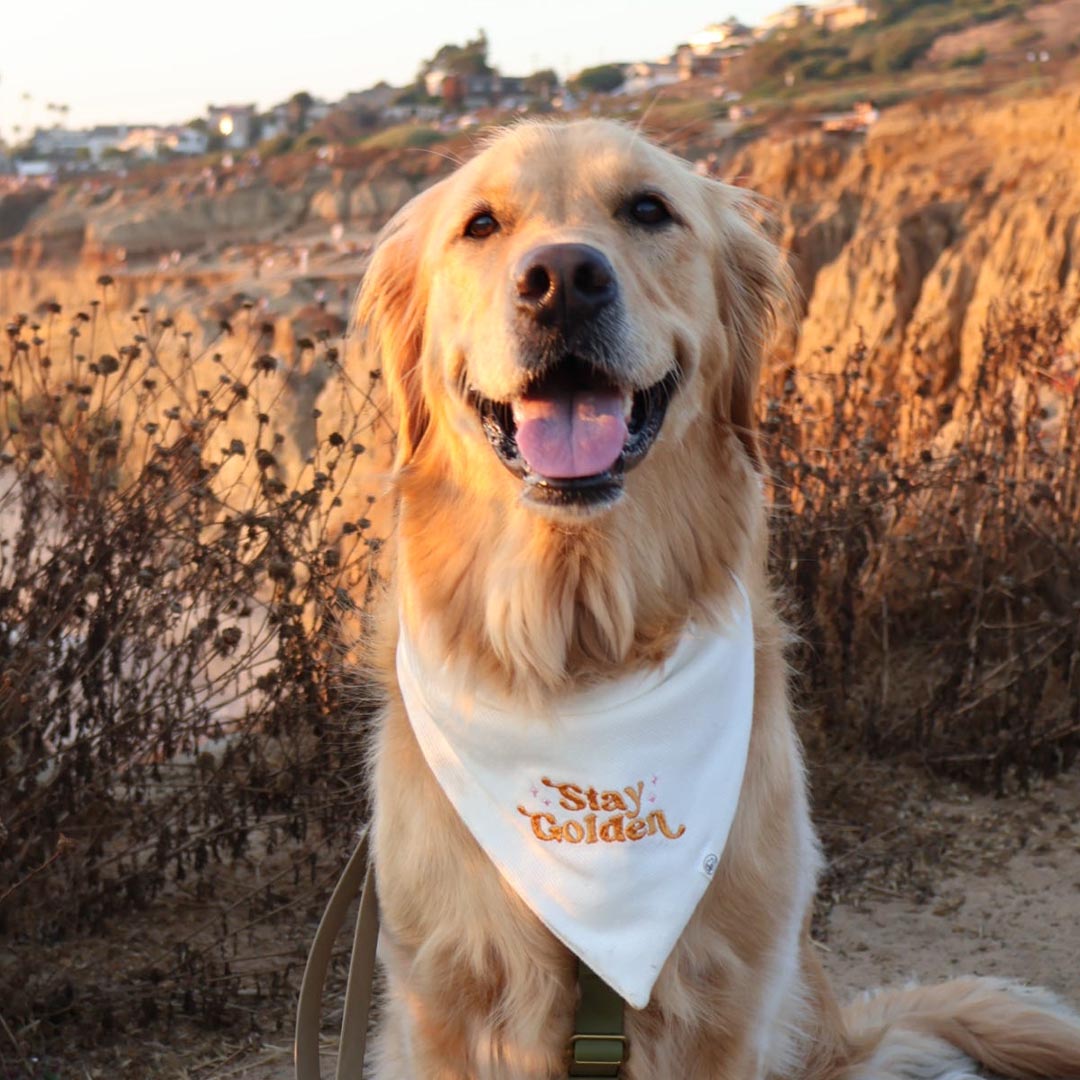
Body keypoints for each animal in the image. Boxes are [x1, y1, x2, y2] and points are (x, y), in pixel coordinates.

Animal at [354, 122, 1080, 1075]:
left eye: (647, 209)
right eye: (481, 224)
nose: (562, 280)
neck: (583, 658)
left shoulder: (727, 999)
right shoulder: (441, 1003)